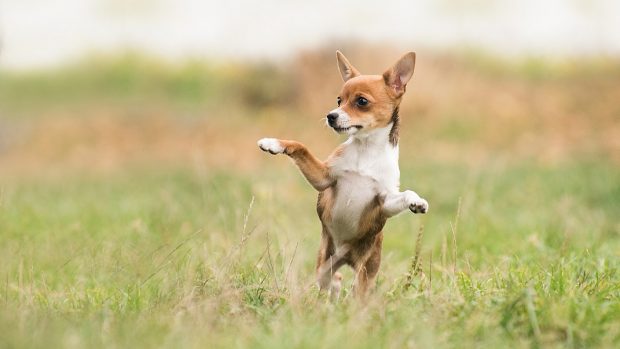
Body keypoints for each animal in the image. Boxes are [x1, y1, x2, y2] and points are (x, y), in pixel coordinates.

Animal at [256, 50, 426, 298]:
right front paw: (273, 143)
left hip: (366, 270)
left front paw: (416, 201)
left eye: (361, 101)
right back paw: (334, 287)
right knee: (329, 277)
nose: (331, 115)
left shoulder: (383, 202)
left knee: (355, 289)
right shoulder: (324, 177)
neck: (366, 150)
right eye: (339, 101)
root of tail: (346, 257)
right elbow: (301, 147)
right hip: (326, 257)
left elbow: (404, 194)